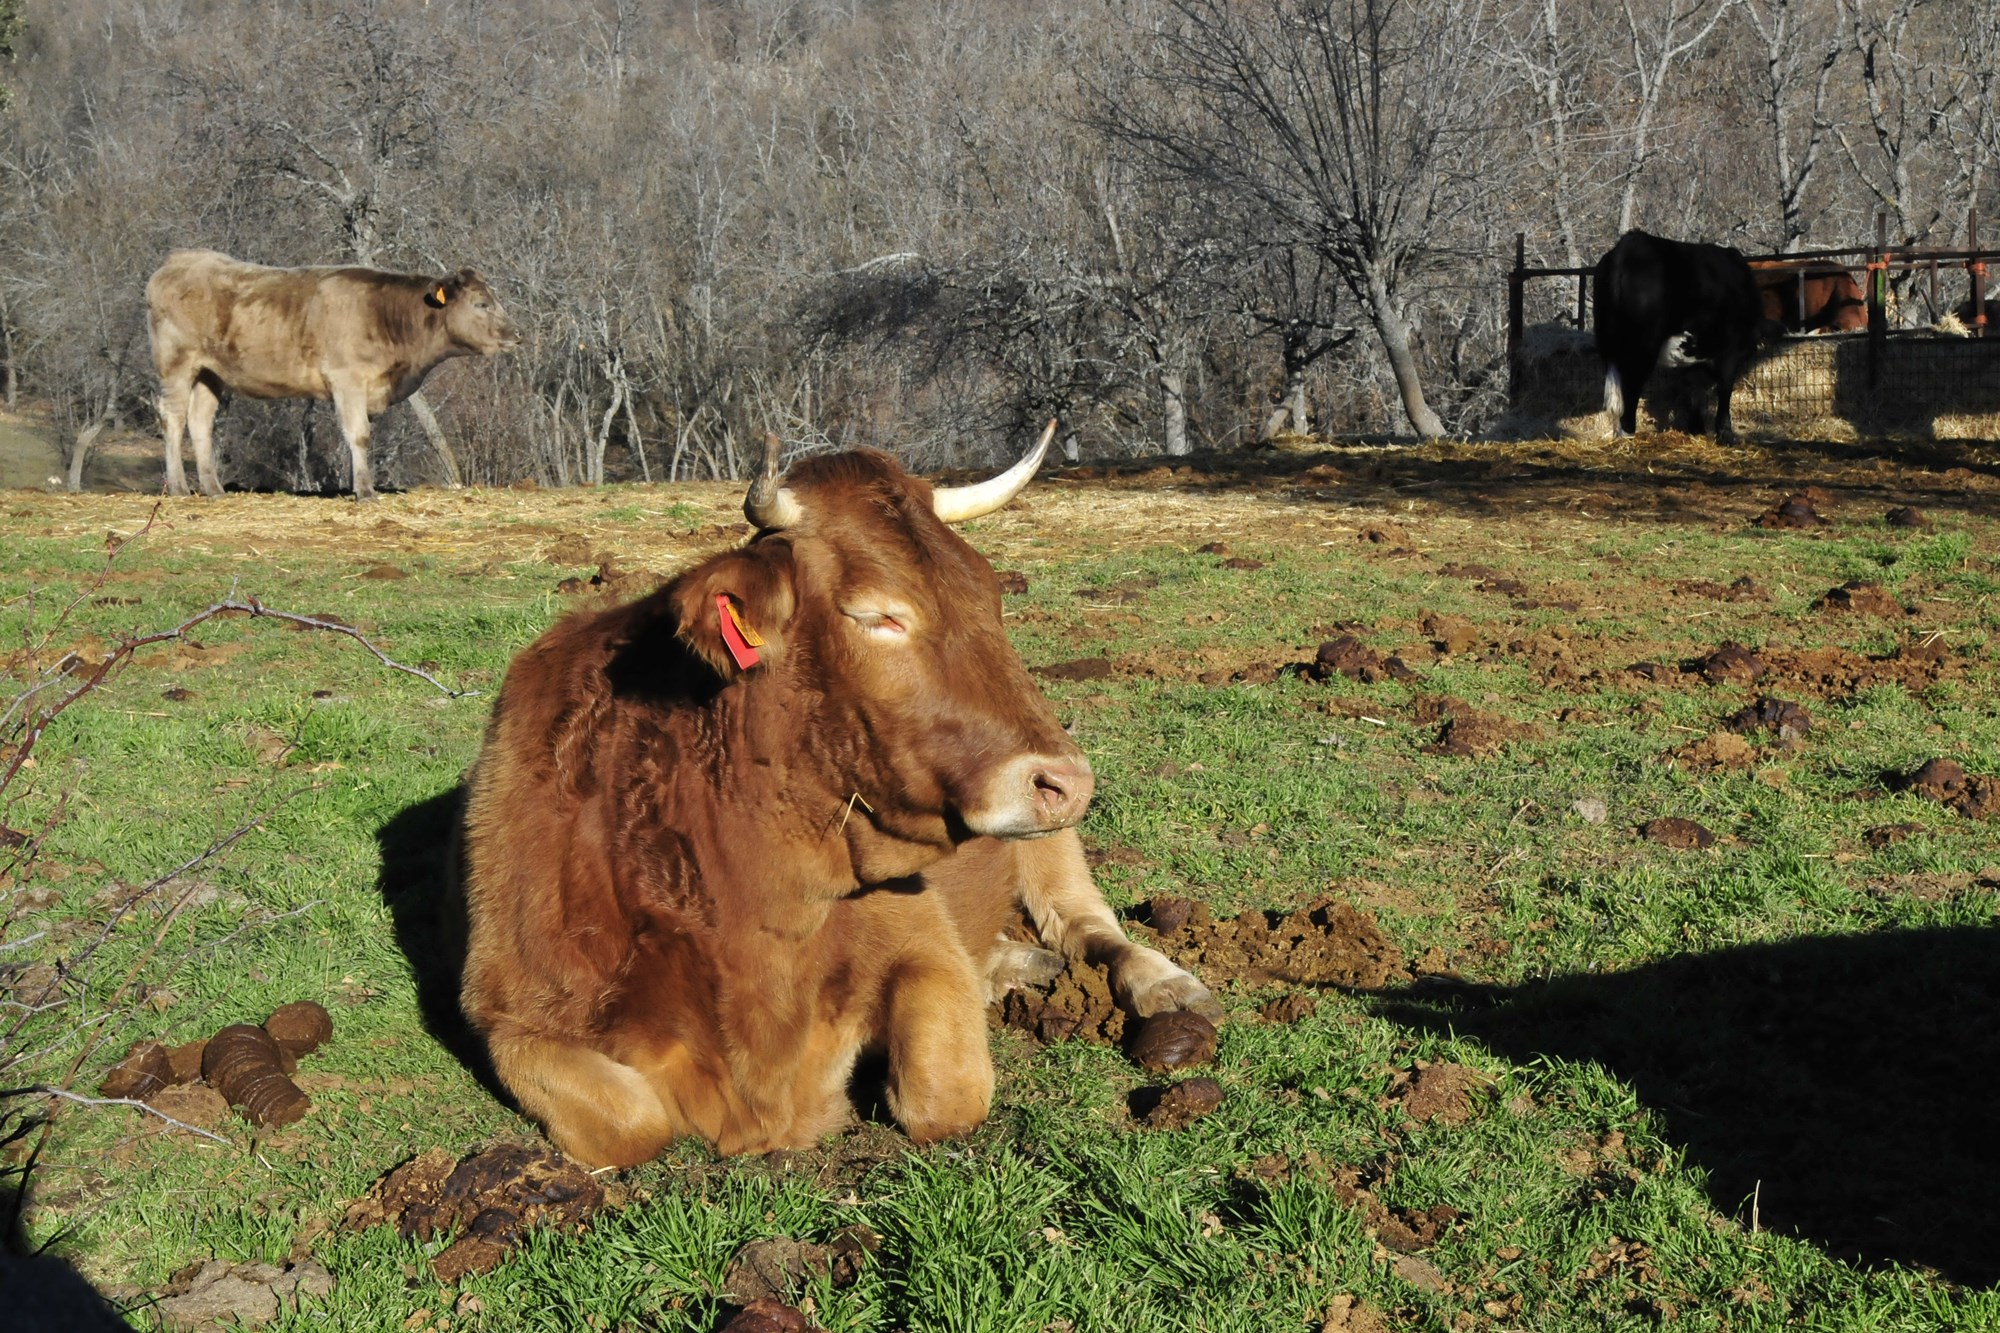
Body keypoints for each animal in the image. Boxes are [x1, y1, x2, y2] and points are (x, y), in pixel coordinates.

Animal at [145, 250, 520, 500]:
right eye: (482, 304)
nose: (517, 334)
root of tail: (180, 259)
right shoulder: (347, 379)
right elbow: (359, 434)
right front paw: (365, 492)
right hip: (176, 362)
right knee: (173, 417)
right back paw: (179, 487)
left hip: (211, 373)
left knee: (200, 422)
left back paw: (213, 488)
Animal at [457, 426, 1218, 1167]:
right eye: (877, 614)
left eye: (990, 595)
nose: (1067, 781)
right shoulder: (508, 1014)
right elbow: (630, 1125)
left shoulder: (922, 943)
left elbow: (942, 1095)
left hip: (1049, 845)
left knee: (1089, 926)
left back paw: (1160, 982)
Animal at [1593, 230, 1768, 439]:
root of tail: (1630, 244)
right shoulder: (1731, 350)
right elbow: (1724, 389)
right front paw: (1725, 433)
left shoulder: (1692, 357)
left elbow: (1694, 390)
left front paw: (1697, 429)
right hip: (1643, 345)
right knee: (1631, 387)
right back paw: (1628, 433)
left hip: (1608, 341)